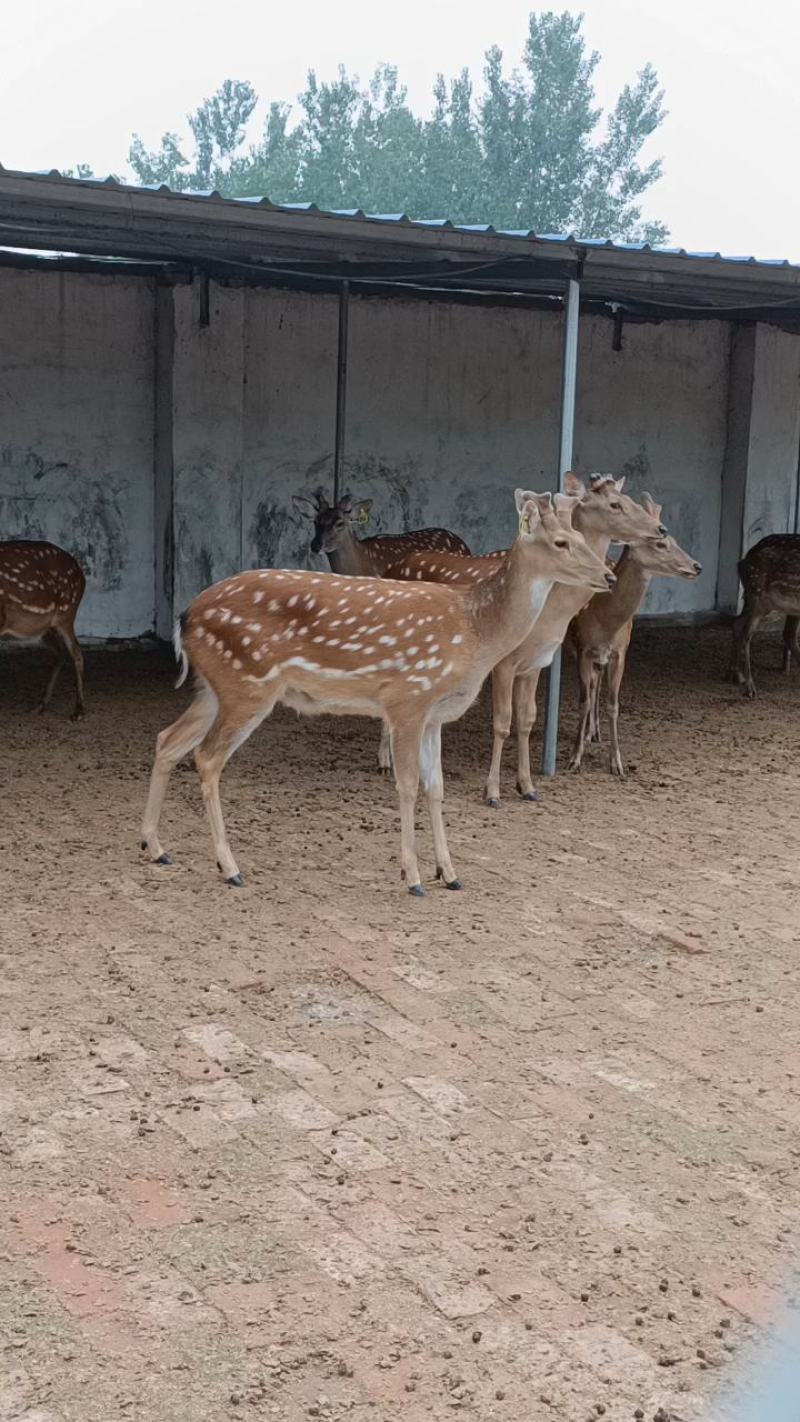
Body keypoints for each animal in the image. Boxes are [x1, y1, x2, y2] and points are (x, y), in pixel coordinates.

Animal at [0, 540, 86, 719]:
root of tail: (81, 574)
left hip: (66, 613)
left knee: (76, 651)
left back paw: (79, 710)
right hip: (45, 628)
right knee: (62, 652)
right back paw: (41, 704)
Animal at [378, 474, 663, 801]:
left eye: (627, 498)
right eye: (616, 503)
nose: (661, 528)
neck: (550, 613)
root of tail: (393, 565)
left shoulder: (535, 662)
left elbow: (526, 719)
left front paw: (526, 786)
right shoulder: (504, 662)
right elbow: (503, 721)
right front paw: (492, 791)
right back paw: (386, 762)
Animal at [567, 496, 701, 776]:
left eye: (677, 541)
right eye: (661, 544)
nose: (697, 566)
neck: (604, 619)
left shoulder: (621, 652)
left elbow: (613, 704)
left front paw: (617, 763)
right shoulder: (583, 649)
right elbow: (583, 699)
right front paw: (575, 758)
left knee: (597, 686)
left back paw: (594, 732)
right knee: (592, 687)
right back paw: (588, 733)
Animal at [728, 534, 800, 697]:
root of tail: (742, 561)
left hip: (759, 600)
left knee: (737, 623)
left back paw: (737, 675)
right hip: (758, 596)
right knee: (747, 634)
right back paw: (750, 687)